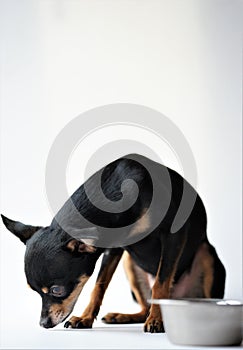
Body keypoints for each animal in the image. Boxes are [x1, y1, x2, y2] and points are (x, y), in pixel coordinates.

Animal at [0, 154, 225, 332]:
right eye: (33, 291)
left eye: (57, 291)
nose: (43, 324)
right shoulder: (113, 249)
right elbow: (99, 285)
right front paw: (86, 318)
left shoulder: (174, 236)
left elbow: (160, 284)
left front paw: (157, 320)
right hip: (129, 264)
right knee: (144, 307)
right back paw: (123, 316)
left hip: (206, 255)